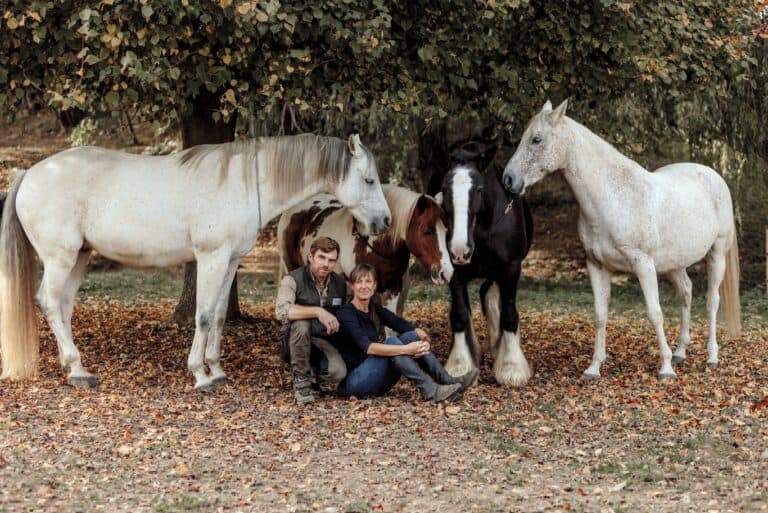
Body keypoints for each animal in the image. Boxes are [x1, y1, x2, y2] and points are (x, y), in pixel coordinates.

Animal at [0, 134, 391, 391]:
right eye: (369, 179)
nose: (384, 222)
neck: (243, 183)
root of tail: (30, 174)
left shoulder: (230, 261)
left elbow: (217, 316)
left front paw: (216, 370)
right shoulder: (211, 258)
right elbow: (202, 316)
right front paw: (201, 376)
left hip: (79, 257)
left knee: (63, 306)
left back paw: (75, 367)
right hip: (60, 258)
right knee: (48, 302)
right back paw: (77, 370)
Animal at [433, 139, 534, 386]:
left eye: (478, 189)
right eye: (445, 190)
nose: (460, 249)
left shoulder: (510, 268)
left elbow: (509, 314)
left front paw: (511, 367)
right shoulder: (455, 271)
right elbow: (460, 315)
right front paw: (460, 365)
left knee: (490, 294)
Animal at [502, 100, 740, 379]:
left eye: (536, 139)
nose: (508, 180)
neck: (613, 197)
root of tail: (714, 176)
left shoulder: (643, 265)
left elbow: (655, 313)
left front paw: (666, 369)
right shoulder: (596, 266)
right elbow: (600, 315)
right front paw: (593, 368)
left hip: (716, 255)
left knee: (712, 302)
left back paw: (711, 356)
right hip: (675, 264)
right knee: (686, 293)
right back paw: (681, 352)